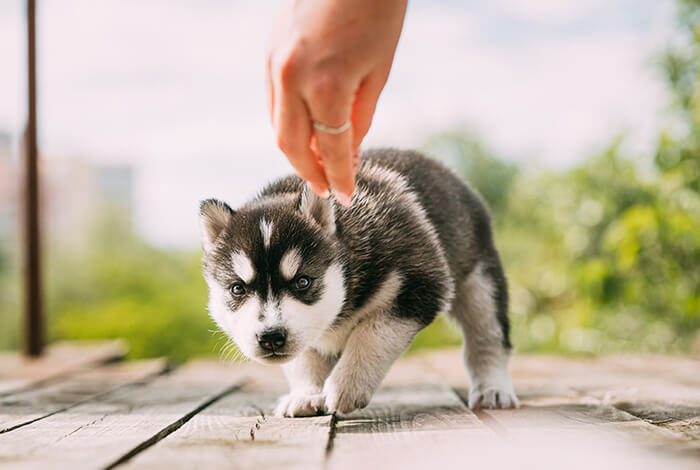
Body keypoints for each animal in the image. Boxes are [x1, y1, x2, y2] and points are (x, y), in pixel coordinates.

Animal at [200, 149, 516, 416]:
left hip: (479, 282)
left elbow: (371, 334)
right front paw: (305, 394)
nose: (271, 337)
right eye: (237, 289)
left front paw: (346, 385)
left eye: (303, 282)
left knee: (487, 337)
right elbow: (305, 359)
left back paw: (493, 389)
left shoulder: (423, 282)